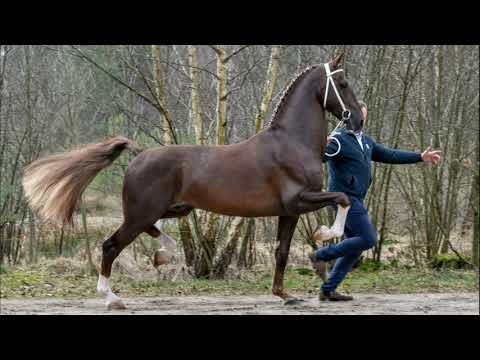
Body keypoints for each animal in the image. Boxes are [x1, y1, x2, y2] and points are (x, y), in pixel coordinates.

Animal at [20, 53, 362, 310]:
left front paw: (285, 295)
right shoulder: (299, 200)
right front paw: (325, 233)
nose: (358, 120)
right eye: (343, 83)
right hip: (141, 213)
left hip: (174, 208)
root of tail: (140, 154)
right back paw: (112, 297)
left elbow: (282, 250)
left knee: (152, 230)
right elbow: (342, 198)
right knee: (111, 245)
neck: (292, 143)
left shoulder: (288, 211)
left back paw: (164, 254)